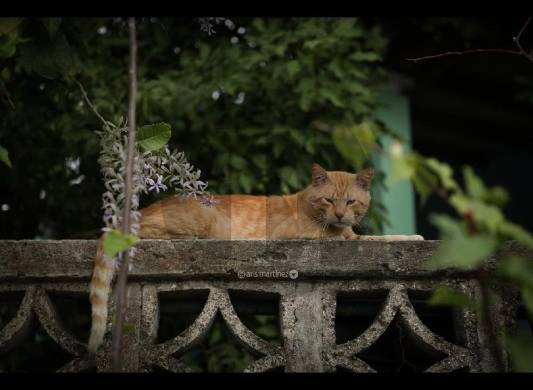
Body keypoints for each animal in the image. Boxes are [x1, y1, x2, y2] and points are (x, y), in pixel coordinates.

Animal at [89, 163, 422, 352]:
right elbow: (351, 238)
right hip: (199, 221)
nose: (340, 215)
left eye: (351, 202)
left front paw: (412, 238)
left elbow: (381, 238)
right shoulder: (300, 235)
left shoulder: (353, 234)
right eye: (329, 200)